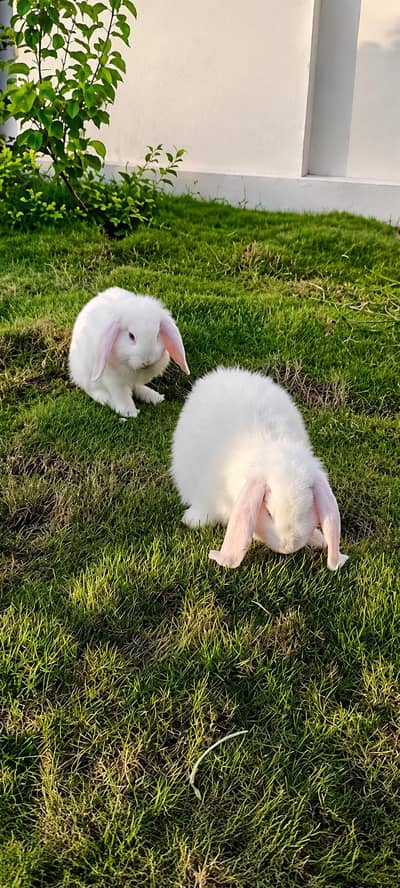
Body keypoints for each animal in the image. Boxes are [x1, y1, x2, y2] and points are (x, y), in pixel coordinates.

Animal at [68, 286, 189, 417]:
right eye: (131, 336)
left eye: (157, 335)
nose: (146, 361)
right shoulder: (113, 380)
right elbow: (121, 395)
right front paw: (129, 412)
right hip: (86, 375)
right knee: (92, 390)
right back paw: (105, 399)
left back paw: (154, 396)